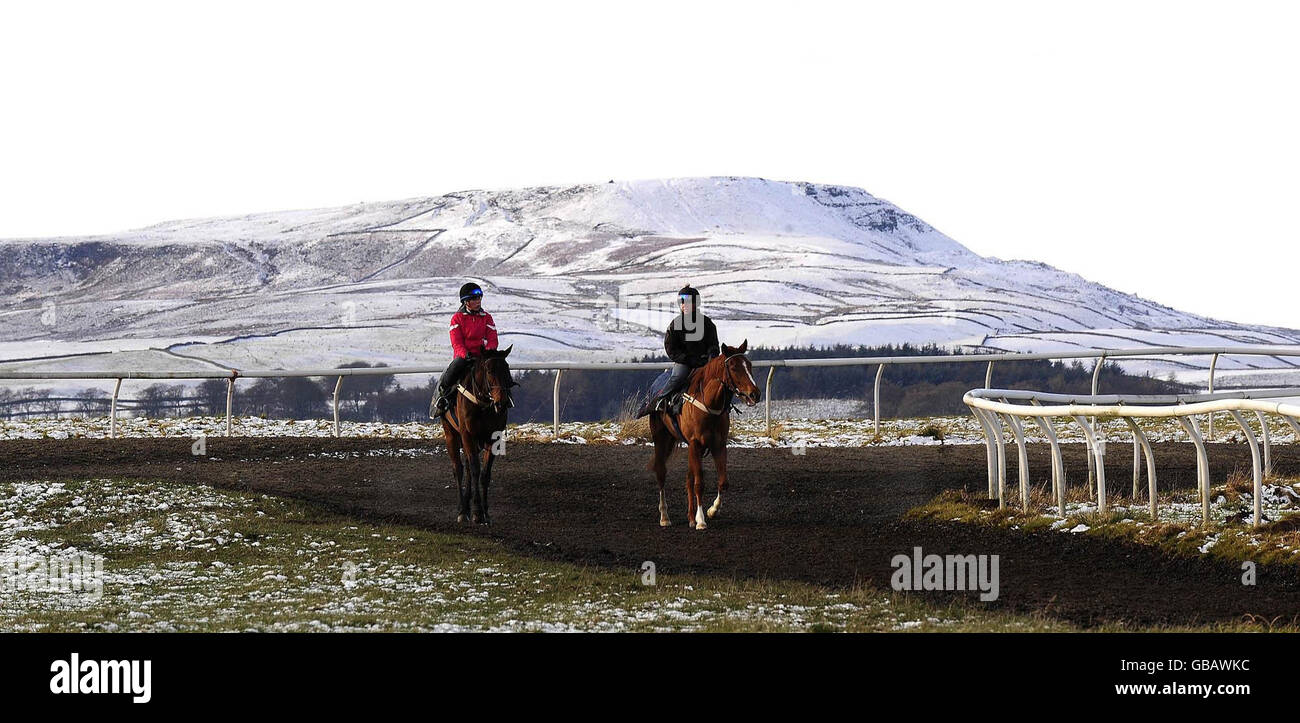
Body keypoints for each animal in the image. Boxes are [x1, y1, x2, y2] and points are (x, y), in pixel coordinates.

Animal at [436, 345, 517, 522]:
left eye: (506, 369)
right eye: (489, 371)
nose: (502, 402)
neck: (482, 404)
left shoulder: (493, 438)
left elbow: (484, 474)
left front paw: (485, 512)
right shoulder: (467, 434)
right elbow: (474, 469)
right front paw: (477, 512)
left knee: (466, 467)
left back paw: (466, 506)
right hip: (451, 434)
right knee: (458, 469)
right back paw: (462, 510)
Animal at [647, 338, 759, 530]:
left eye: (749, 365)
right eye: (734, 367)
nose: (755, 394)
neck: (709, 403)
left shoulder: (719, 445)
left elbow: (723, 482)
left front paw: (712, 511)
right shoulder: (695, 443)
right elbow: (699, 483)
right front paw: (701, 520)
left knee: (688, 478)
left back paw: (690, 517)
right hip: (662, 439)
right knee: (661, 472)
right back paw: (665, 516)